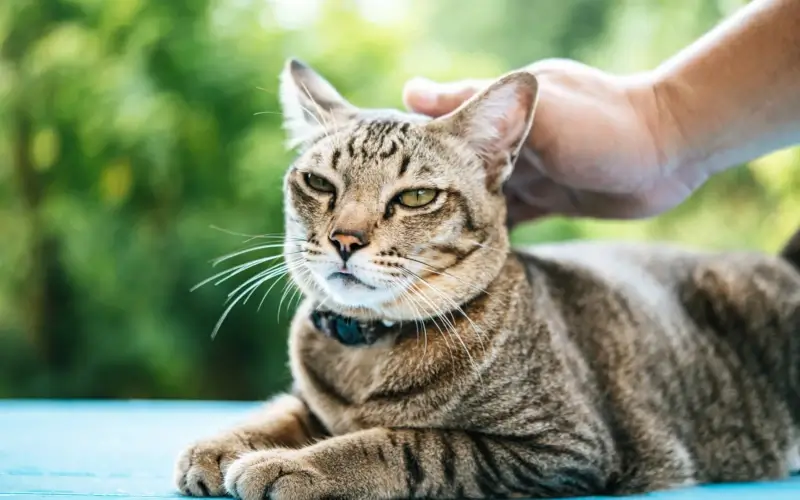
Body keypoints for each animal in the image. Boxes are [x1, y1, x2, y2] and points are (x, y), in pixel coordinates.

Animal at [175, 59, 800, 500]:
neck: (368, 348)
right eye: (320, 183)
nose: (345, 240)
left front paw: (293, 463)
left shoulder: (560, 445)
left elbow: (401, 444)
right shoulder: (313, 402)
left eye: (416, 197)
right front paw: (221, 444)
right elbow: (282, 411)